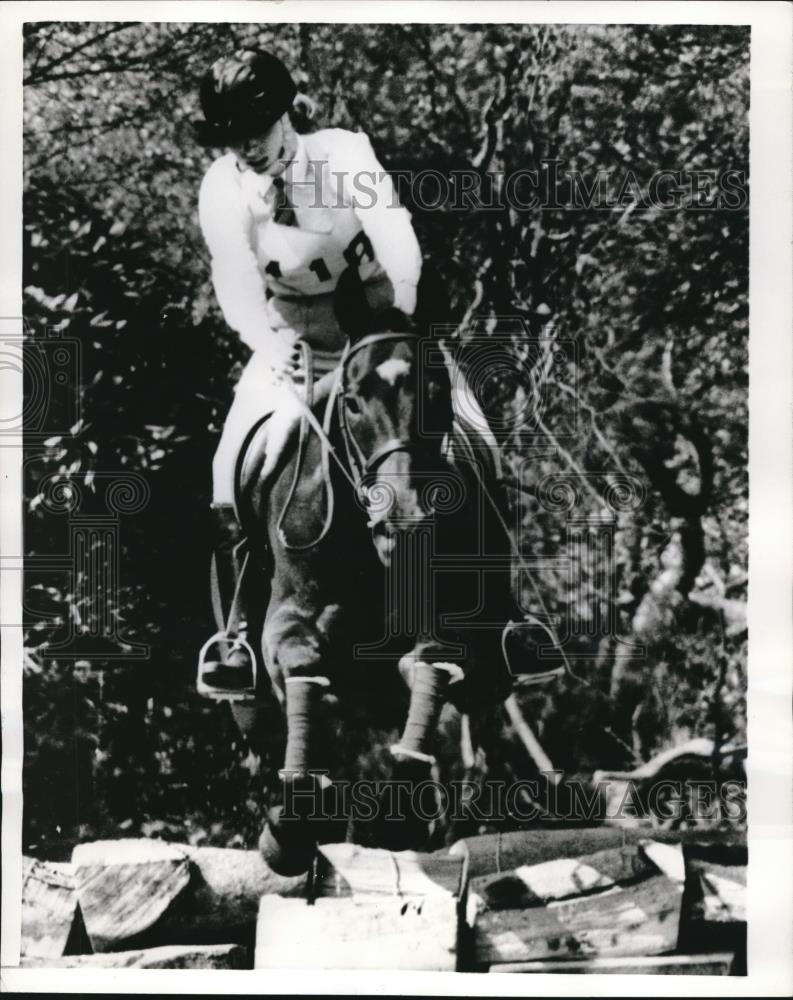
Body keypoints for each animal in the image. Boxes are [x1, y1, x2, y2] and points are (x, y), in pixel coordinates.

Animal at [223, 274, 552, 876]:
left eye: (438, 394)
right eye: (353, 402)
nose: (406, 521)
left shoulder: (456, 633)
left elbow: (426, 664)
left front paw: (403, 807)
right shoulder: (288, 620)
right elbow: (303, 664)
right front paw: (294, 820)